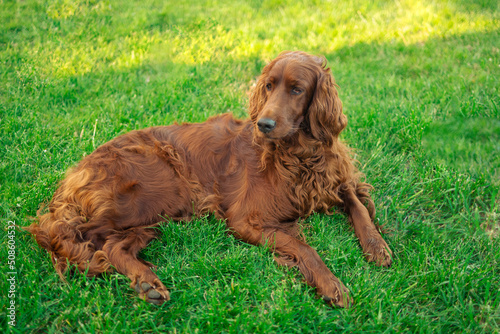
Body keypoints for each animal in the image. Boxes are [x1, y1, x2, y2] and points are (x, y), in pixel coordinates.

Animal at [27, 51, 392, 306]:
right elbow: (305, 247)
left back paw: (147, 284)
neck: (299, 155)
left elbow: (357, 204)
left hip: (153, 217)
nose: (264, 124)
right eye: (269, 86)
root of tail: (73, 175)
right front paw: (332, 284)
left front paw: (376, 246)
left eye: (297, 89)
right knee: (71, 234)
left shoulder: (335, 178)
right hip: (155, 191)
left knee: (114, 245)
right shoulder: (246, 220)